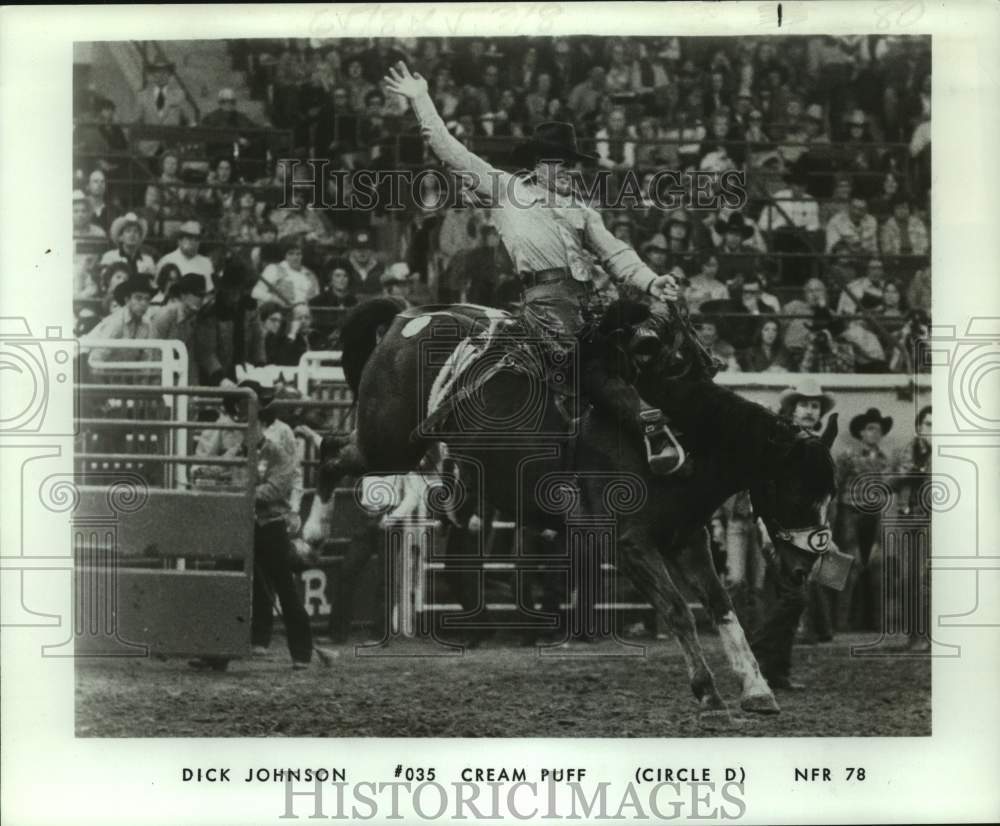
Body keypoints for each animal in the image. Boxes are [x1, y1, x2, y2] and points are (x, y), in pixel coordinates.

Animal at [306, 292, 844, 716]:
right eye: (797, 490)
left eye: (829, 494)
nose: (804, 568)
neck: (685, 437)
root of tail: (406, 316)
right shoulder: (630, 543)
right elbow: (678, 609)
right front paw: (707, 691)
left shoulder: (685, 538)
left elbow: (720, 605)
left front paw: (757, 688)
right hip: (388, 442)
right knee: (329, 452)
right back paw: (312, 533)